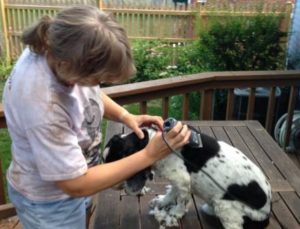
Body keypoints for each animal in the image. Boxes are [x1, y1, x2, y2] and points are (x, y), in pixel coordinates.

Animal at [102, 128, 272, 228]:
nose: (111, 185)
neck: (150, 140)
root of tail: (267, 213)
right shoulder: (177, 181)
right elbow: (172, 193)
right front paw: (162, 202)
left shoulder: (182, 180)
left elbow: (181, 201)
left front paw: (174, 214)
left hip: (225, 206)